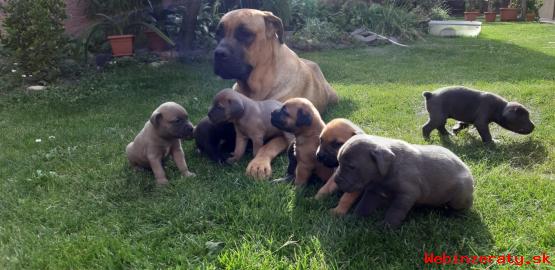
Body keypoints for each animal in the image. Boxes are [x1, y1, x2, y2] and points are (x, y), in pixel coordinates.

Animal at [332, 134, 476, 229]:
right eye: (339, 162)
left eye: (351, 167)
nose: (336, 181)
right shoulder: (373, 191)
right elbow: (363, 205)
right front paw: (353, 218)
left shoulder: (406, 195)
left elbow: (395, 211)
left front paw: (386, 227)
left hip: (460, 195)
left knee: (462, 208)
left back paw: (452, 214)